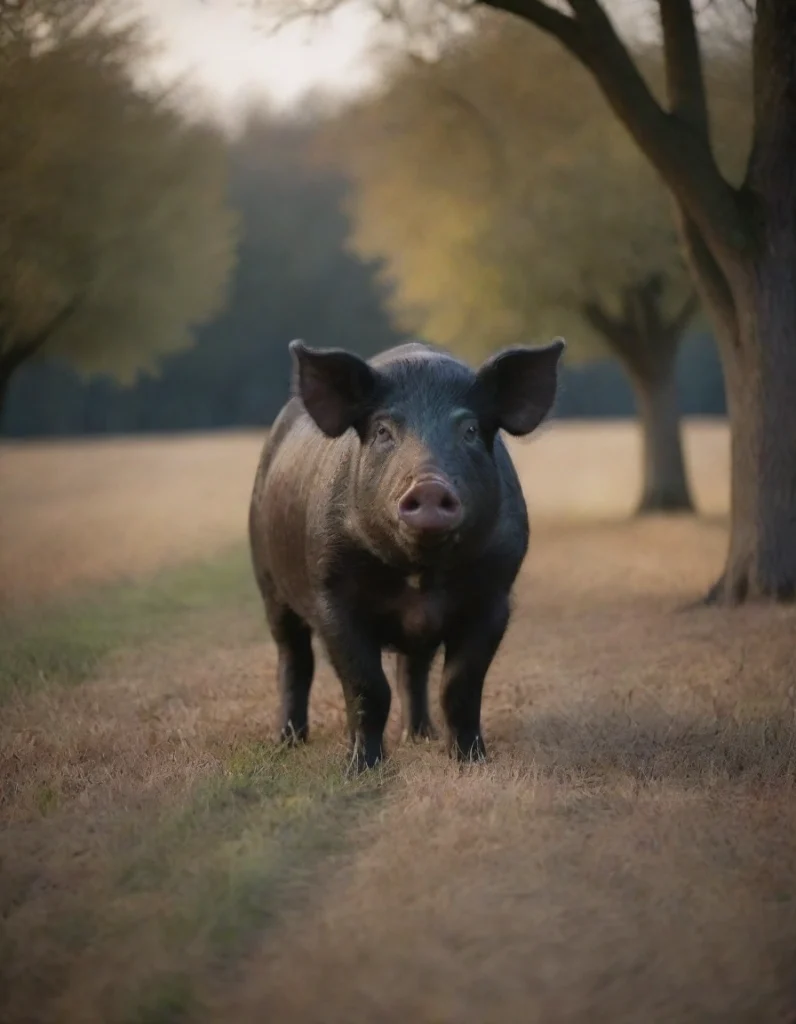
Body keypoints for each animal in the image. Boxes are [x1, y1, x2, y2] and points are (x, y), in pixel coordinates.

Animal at [247, 339, 565, 770]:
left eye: (469, 429)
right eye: (383, 430)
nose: (429, 486)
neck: (421, 575)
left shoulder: (495, 598)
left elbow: (460, 686)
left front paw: (471, 762)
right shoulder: (332, 597)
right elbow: (367, 687)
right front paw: (360, 770)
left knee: (412, 670)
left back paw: (420, 736)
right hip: (269, 585)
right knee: (293, 658)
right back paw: (287, 742)